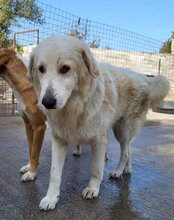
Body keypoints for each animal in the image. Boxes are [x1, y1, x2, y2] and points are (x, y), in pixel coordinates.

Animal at [0, 49, 46, 181]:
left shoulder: (40, 126)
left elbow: (35, 152)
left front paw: (32, 173)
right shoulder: (28, 125)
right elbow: (31, 149)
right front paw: (29, 167)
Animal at [28, 35, 170, 211]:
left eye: (65, 68)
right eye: (41, 69)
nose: (47, 102)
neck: (76, 107)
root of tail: (145, 78)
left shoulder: (99, 140)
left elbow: (96, 168)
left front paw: (92, 189)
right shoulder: (59, 140)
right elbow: (54, 174)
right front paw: (51, 198)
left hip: (122, 130)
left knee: (125, 152)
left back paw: (118, 171)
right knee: (129, 150)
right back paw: (127, 169)